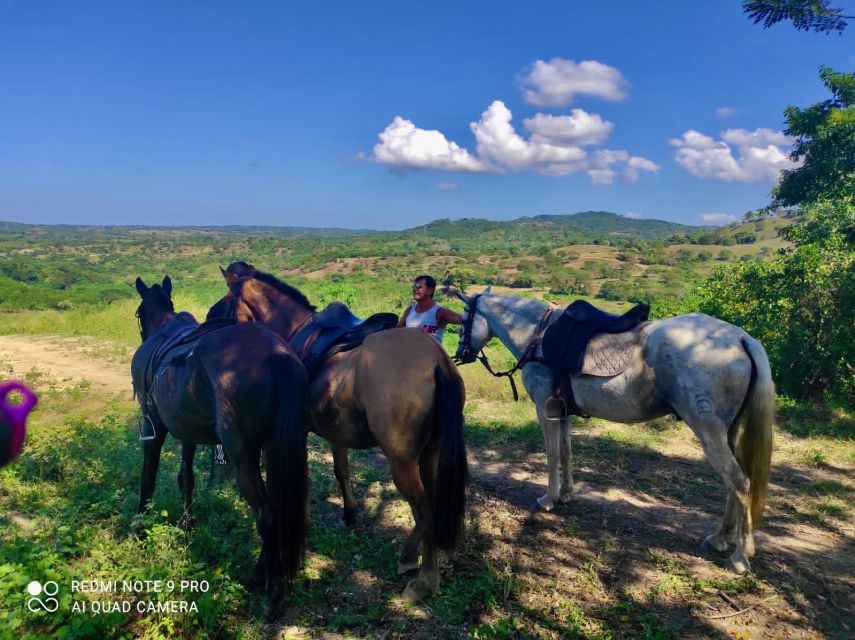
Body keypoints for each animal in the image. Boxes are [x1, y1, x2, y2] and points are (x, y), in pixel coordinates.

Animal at [131, 276, 310, 616]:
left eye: (137, 313)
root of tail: (275, 352)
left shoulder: (154, 428)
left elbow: (147, 480)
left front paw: (139, 530)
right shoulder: (187, 432)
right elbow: (186, 478)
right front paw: (186, 527)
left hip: (243, 457)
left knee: (267, 515)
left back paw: (272, 594)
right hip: (273, 449)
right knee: (278, 510)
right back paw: (261, 573)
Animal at [212, 264, 468, 600]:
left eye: (228, 299)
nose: (212, 318)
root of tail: (437, 361)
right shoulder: (336, 432)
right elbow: (341, 471)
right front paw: (349, 514)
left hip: (402, 462)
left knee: (423, 509)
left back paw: (425, 580)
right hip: (431, 451)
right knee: (432, 501)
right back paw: (409, 556)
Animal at [454, 288, 776, 572]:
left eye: (463, 319)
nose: (460, 353)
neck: (537, 335)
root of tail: (741, 337)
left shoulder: (546, 410)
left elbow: (552, 454)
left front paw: (548, 499)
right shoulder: (562, 411)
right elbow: (566, 453)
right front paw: (567, 493)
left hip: (709, 431)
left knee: (739, 481)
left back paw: (740, 555)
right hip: (727, 433)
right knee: (733, 484)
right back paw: (721, 538)